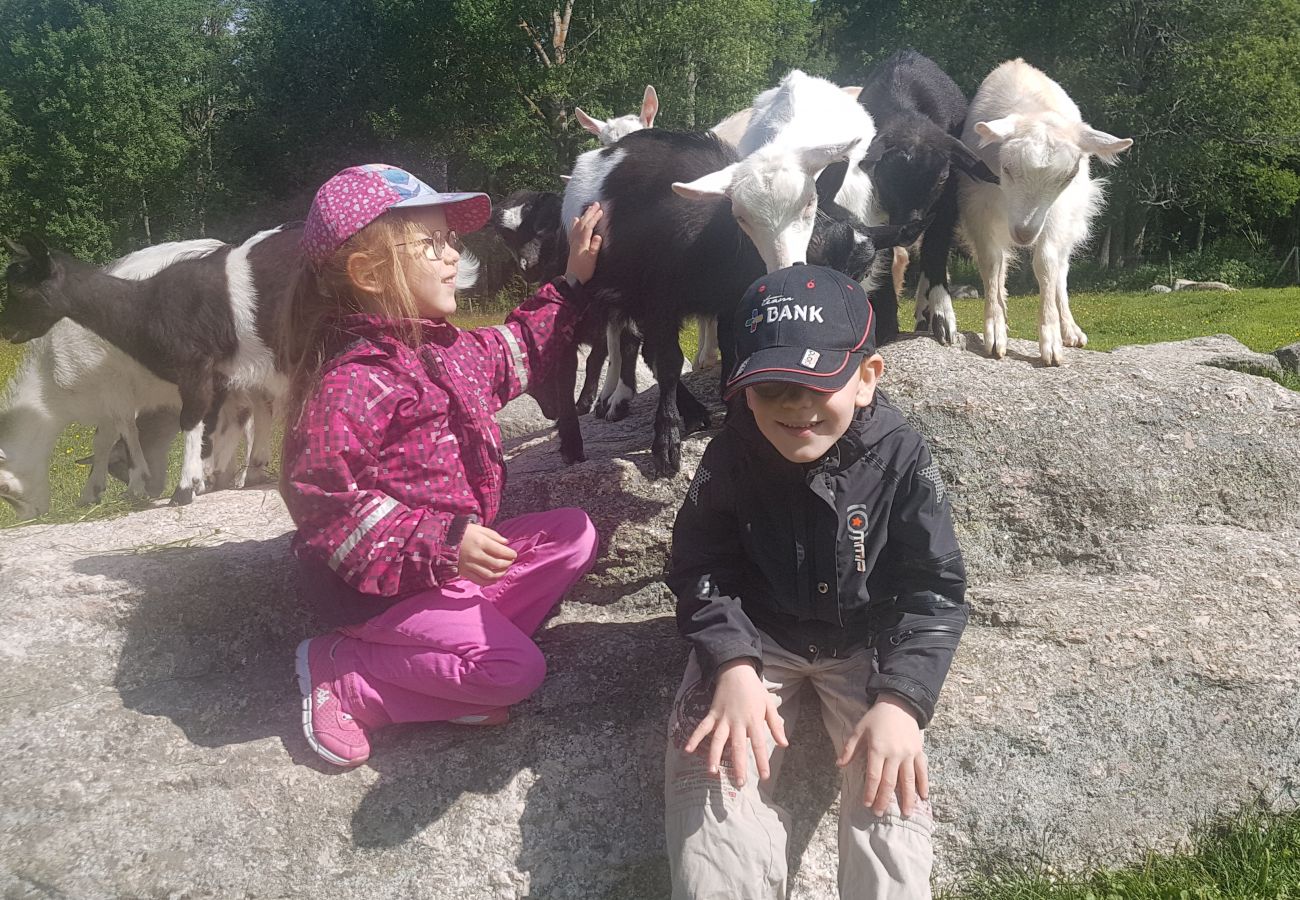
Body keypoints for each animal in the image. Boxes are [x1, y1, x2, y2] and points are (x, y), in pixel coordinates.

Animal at [0, 223, 297, 502]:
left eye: (19, 287)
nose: (6, 328)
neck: (146, 308)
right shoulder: (219, 377)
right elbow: (209, 425)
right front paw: (202, 481)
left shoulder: (193, 368)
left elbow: (188, 421)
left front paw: (183, 490)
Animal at [857, 50, 998, 343]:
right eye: (883, 176)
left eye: (943, 177)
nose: (911, 227)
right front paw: (887, 323)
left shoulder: (947, 207)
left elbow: (935, 250)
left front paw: (943, 317)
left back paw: (926, 308)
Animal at [961, 58, 1133, 366]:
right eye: (1007, 168)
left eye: (1067, 176)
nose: (1024, 232)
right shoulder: (978, 204)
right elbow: (992, 262)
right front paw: (995, 333)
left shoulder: (1058, 211)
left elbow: (1046, 263)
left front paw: (1050, 342)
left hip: (1073, 215)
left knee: (1061, 268)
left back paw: (1070, 330)